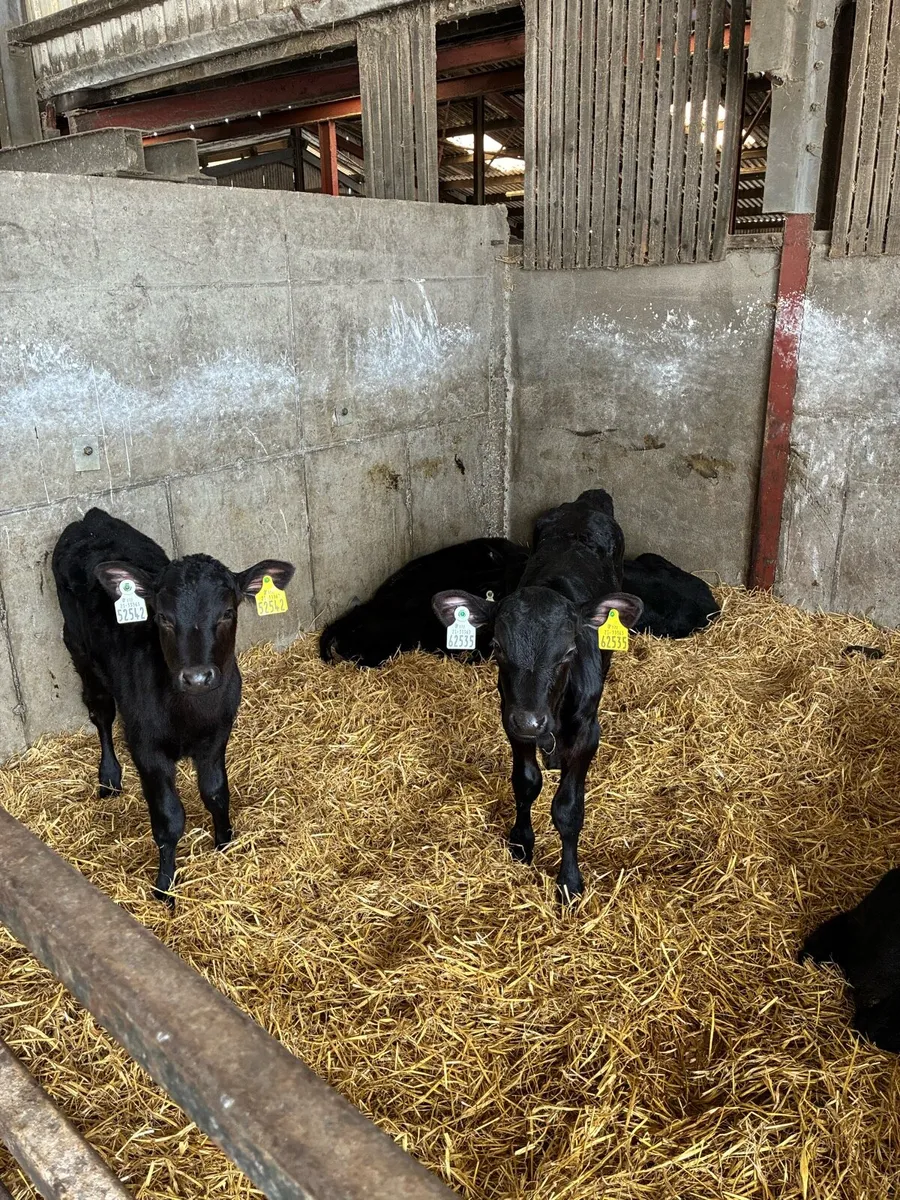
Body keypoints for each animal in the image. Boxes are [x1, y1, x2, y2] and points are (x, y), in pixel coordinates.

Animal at [52, 507, 294, 905]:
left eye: (227, 613)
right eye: (163, 617)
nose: (197, 677)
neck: (189, 715)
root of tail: (91, 519)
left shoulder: (217, 735)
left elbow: (215, 793)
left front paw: (224, 842)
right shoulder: (146, 748)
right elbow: (169, 818)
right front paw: (165, 885)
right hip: (78, 649)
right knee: (100, 713)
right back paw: (109, 777)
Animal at [432, 489, 643, 901]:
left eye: (569, 651)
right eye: (497, 647)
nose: (532, 721)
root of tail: (586, 501)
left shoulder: (588, 732)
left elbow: (568, 808)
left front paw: (570, 881)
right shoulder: (510, 718)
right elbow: (526, 782)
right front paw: (521, 841)